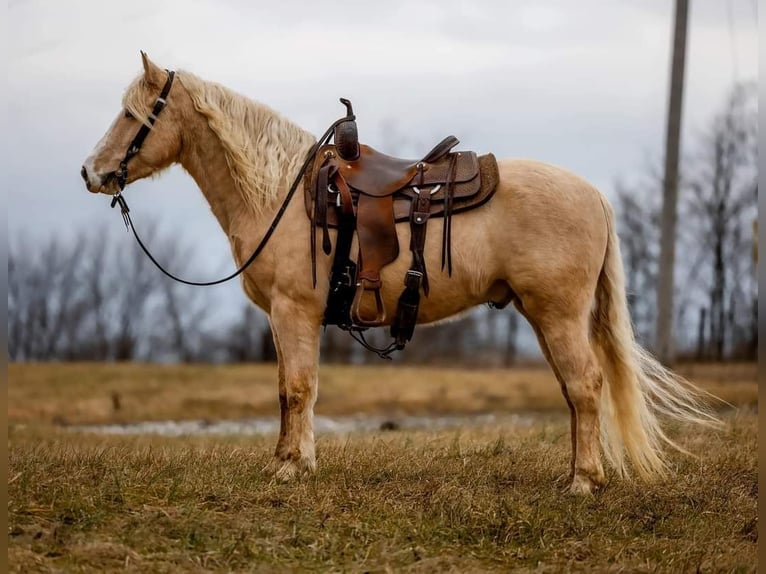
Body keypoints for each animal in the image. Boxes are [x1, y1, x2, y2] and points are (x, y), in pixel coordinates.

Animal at [81, 53, 716, 496]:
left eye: (133, 114)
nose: (91, 172)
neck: (280, 193)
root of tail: (593, 195)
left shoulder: (294, 311)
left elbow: (298, 388)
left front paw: (291, 469)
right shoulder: (281, 320)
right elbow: (288, 390)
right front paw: (291, 460)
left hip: (557, 313)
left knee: (584, 386)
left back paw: (584, 481)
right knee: (573, 390)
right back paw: (577, 473)